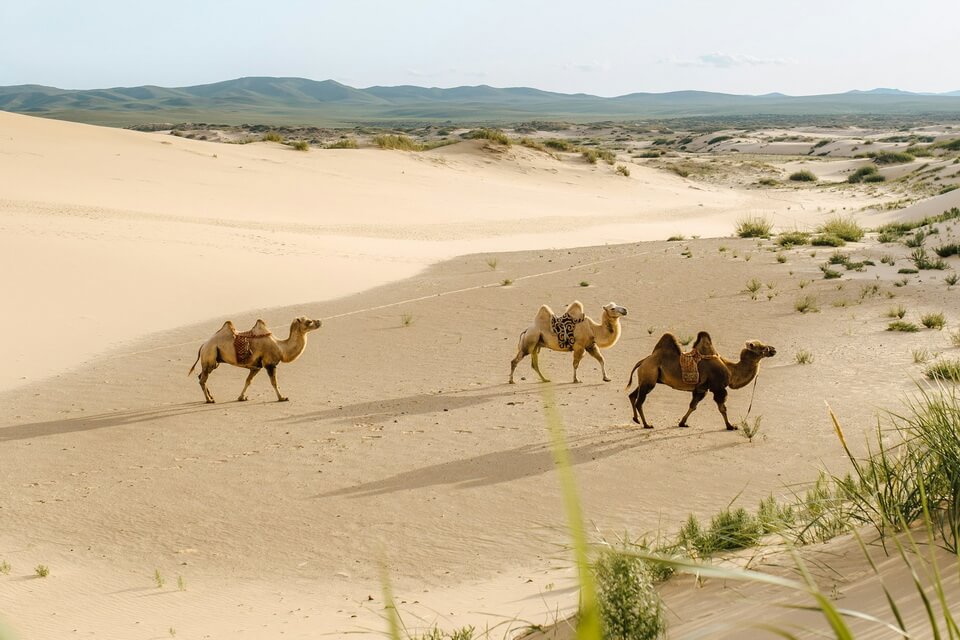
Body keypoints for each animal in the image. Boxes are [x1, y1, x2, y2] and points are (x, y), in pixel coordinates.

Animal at [188, 316, 322, 402]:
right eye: (309, 321)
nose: (319, 321)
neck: (281, 348)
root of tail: (203, 345)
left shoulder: (256, 366)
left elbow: (248, 381)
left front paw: (241, 397)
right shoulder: (270, 364)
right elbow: (274, 382)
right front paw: (282, 398)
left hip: (213, 360)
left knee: (201, 376)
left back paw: (211, 397)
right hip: (210, 355)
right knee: (202, 379)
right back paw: (209, 400)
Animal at [628, 330, 776, 430]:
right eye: (762, 348)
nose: (773, 349)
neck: (730, 370)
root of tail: (643, 361)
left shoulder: (701, 388)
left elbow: (693, 406)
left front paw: (683, 423)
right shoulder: (718, 387)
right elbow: (722, 408)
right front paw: (730, 426)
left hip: (646, 379)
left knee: (632, 395)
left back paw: (636, 419)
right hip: (649, 378)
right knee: (639, 401)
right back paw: (647, 424)